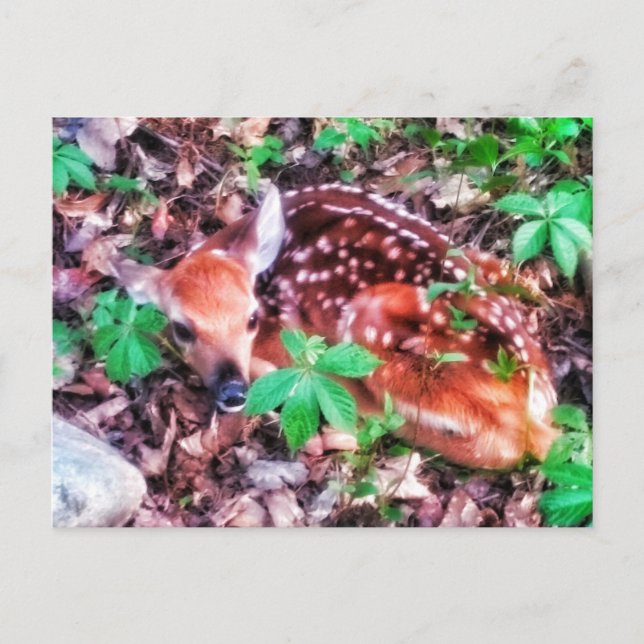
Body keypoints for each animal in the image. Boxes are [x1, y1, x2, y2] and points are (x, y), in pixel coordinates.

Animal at [114, 183, 558, 470]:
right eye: (183, 328)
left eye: (250, 318)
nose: (232, 390)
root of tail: (537, 390)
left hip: (377, 322)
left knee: (522, 443)